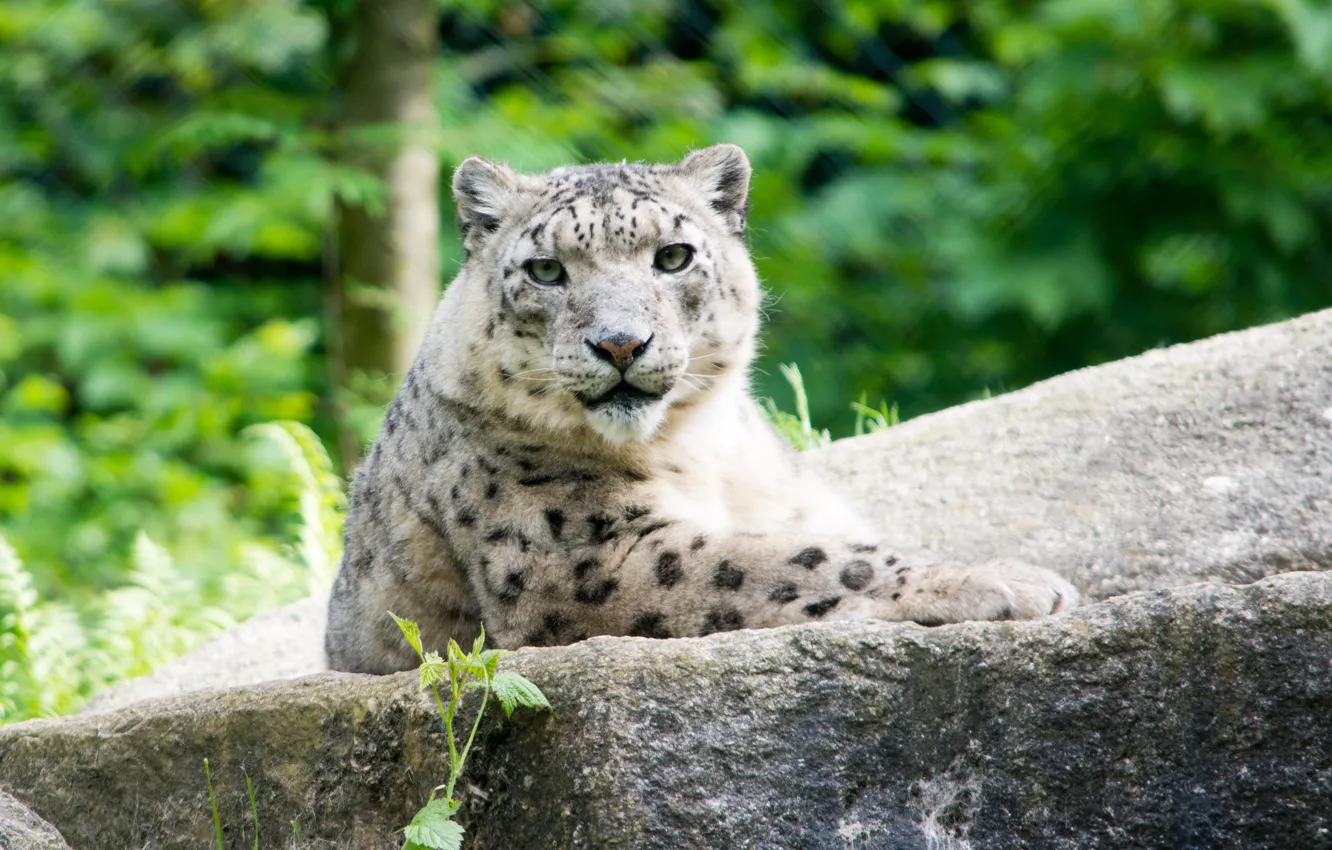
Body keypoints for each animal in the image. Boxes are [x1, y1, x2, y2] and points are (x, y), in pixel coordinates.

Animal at [324, 144, 1079, 673]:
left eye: (674, 256)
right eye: (544, 270)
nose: (620, 343)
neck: (703, 446)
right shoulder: (585, 561)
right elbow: (801, 560)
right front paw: (999, 578)